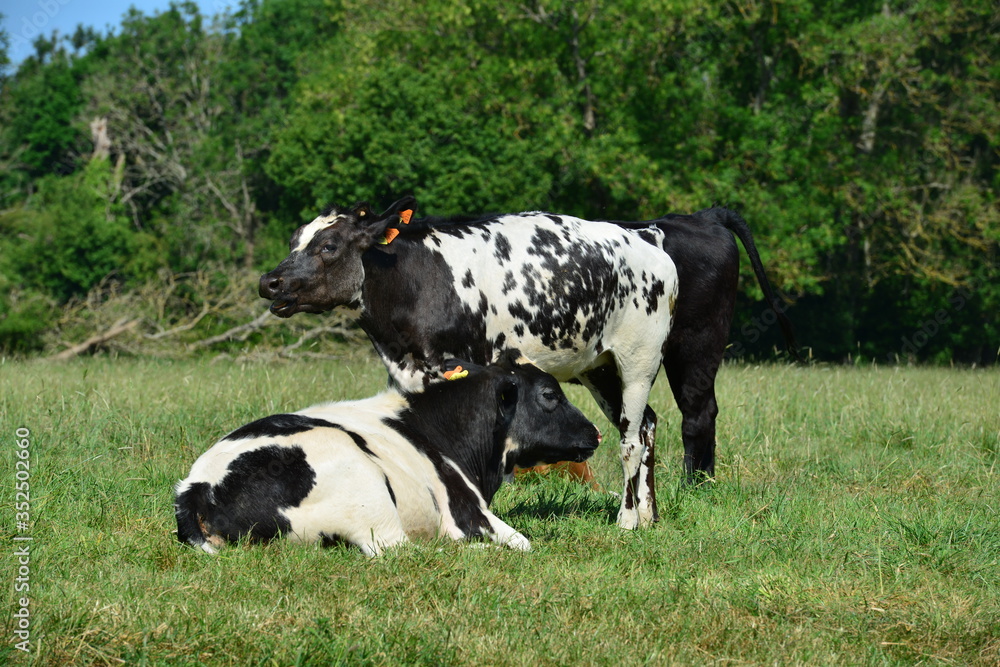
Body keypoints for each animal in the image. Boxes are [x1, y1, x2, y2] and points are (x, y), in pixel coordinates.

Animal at [175, 358, 596, 556]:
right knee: (401, 550)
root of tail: (197, 485)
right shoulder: (468, 514)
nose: (595, 433)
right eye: (549, 395)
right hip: (366, 488)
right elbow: (523, 543)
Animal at [258, 196, 796, 528]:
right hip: (601, 367)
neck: (417, 277)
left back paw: (632, 517)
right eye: (295, 241)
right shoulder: (406, 370)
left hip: (660, 354)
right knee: (646, 425)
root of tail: (650, 236)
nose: (270, 282)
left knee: (655, 429)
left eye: (329, 245)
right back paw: (649, 515)